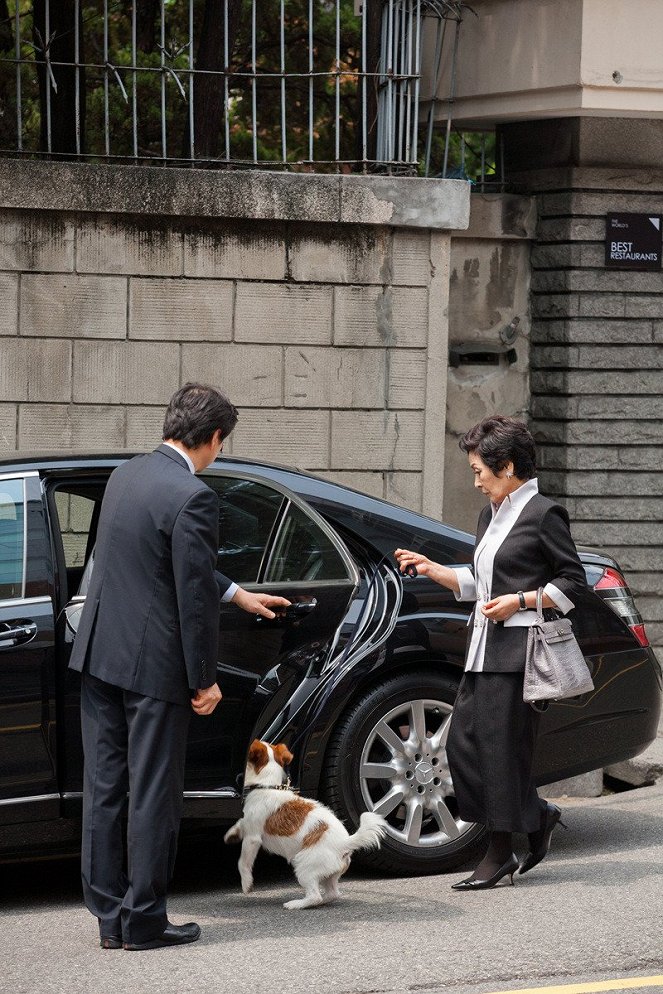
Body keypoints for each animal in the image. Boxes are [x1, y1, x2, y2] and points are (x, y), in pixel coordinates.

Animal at [224, 736, 386, 908]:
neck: (267, 786)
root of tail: (344, 843)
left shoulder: (253, 838)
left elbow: (242, 862)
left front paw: (246, 883)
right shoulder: (248, 823)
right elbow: (241, 823)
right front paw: (232, 834)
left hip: (304, 866)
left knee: (315, 896)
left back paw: (296, 904)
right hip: (329, 874)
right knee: (332, 894)